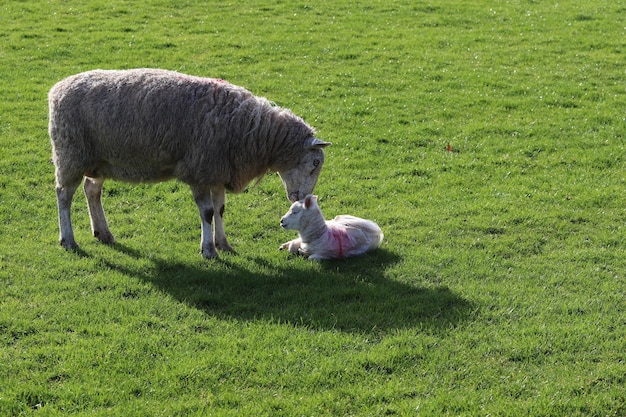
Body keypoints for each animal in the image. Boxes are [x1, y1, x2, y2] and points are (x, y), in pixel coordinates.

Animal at [47, 68, 332, 256]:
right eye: (314, 164)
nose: (303, 197)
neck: (250, 130)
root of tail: (56, 89)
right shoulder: (200, 170)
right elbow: (207, 212)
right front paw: (208, 250)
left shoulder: (217, 172)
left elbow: (220, 209)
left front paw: (223, 244)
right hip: (70, 154)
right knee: (63, 196)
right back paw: (68, 240)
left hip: (99, 159)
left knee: (91, 190)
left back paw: (103, 233)